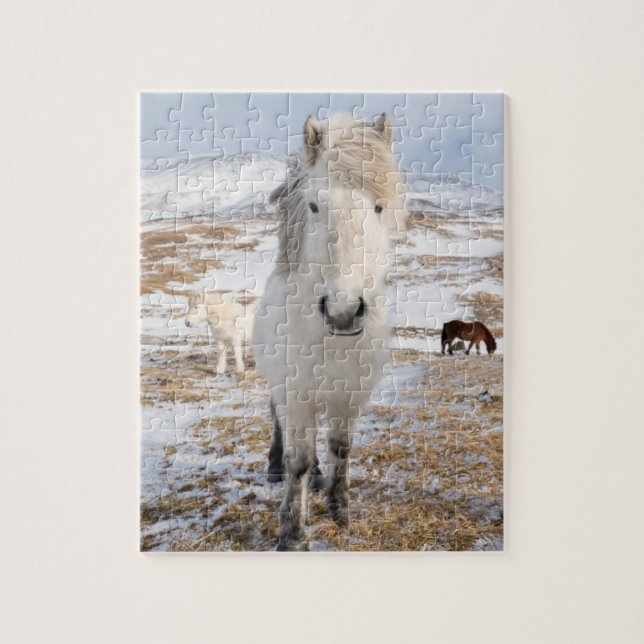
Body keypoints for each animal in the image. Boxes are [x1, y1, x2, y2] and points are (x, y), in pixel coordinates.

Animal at [252, 112, 406, 550]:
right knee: (279, 425)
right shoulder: (295, 396)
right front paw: (292, 533)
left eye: (378, 206)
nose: (343, 311)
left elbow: (341, 448)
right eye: (315, 205)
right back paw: (275, 467)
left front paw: (340, 510)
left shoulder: (348, 398)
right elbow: (298, 462)